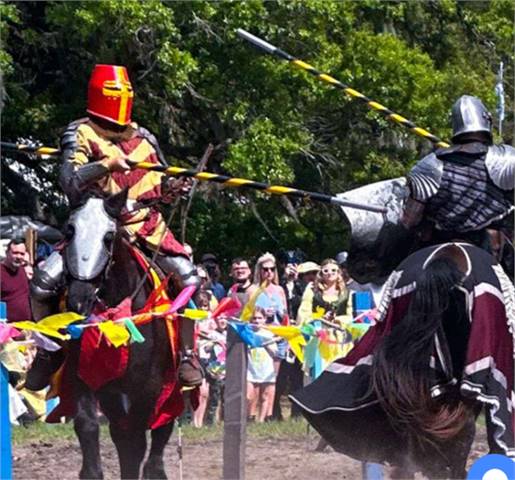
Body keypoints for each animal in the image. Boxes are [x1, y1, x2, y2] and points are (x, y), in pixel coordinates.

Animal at [57, 191, 180, 480]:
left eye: (108, 237)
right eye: (70, 231)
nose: (79, 299)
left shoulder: (148, 389)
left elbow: (136, 443)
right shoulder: (85, 379)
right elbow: (88, 426)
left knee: (158, 433)